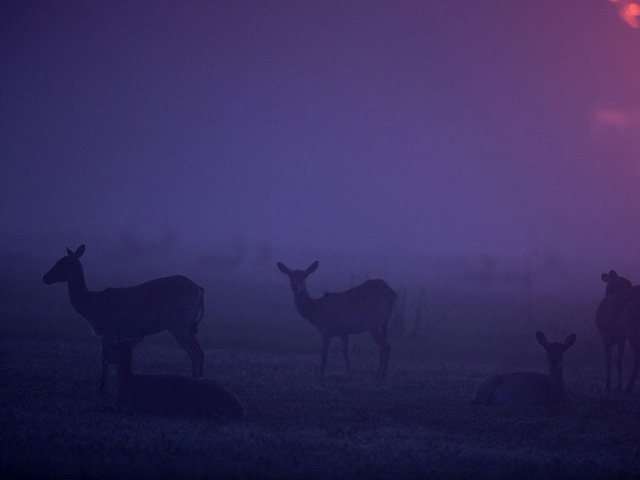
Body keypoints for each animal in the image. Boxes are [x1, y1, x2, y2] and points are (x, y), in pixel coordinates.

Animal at [43, 246, 204, 392]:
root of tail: (199, 289)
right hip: (190, 327)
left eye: (62, 263)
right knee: (200, 352)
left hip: (177, 326)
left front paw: (102, 389)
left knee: (194, 352)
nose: (45, 278)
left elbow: (105, 357)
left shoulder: (109, 329)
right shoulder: (119, 333)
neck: (93, 303)